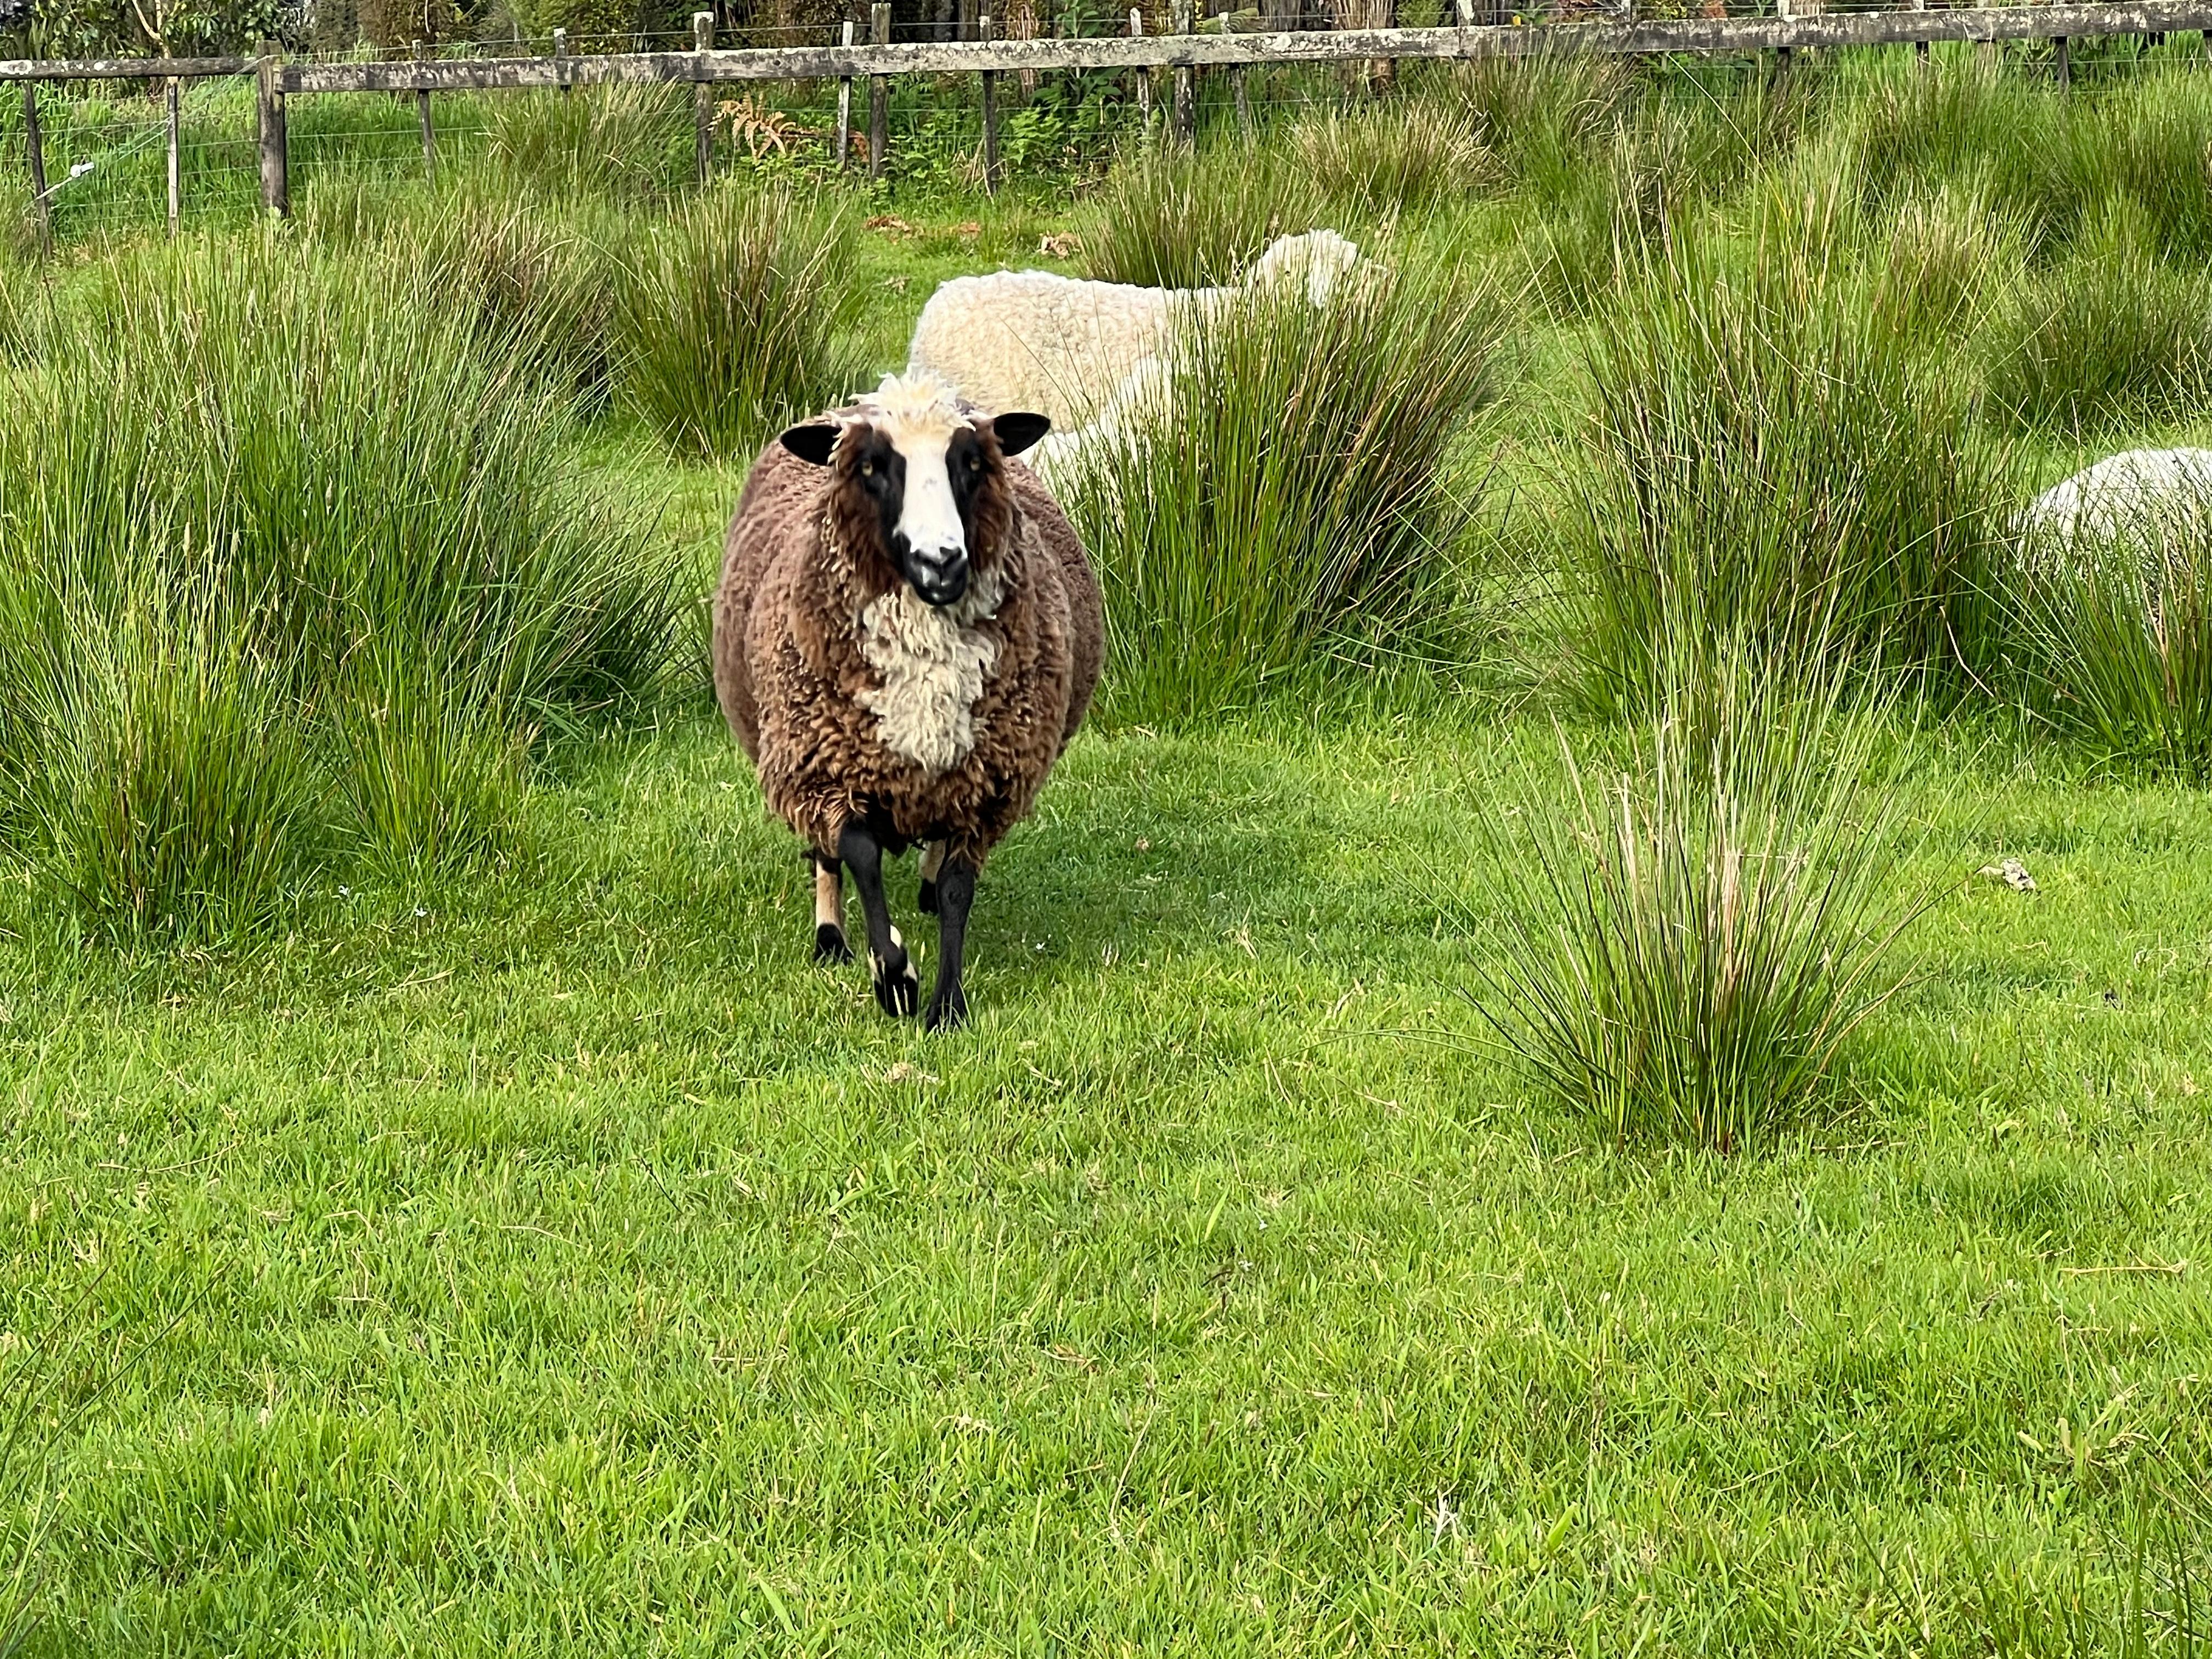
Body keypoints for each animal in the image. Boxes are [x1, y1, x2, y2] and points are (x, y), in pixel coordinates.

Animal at [712, 374, 1101, 1040]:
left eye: (972, 462)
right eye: (871, 466)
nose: (941, 563)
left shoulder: (986, 785)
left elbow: (956, 889)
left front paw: (947, 1004)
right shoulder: (826, 769)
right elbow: (861, 857)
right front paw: (894, 979)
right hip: (796, 747)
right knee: (826, 856)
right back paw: (831, 939)